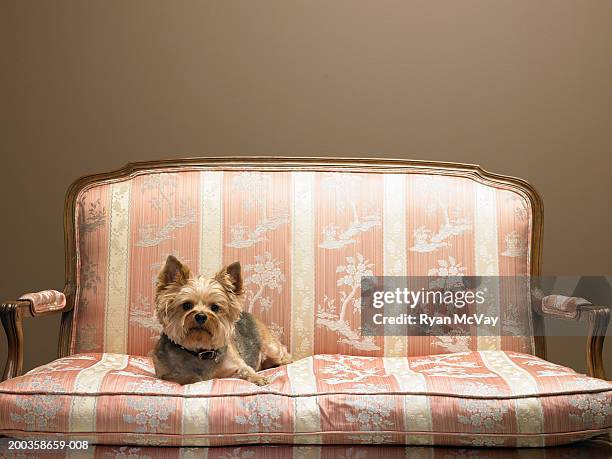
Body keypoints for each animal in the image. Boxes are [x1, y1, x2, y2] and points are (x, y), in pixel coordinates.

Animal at [150, 256, 290, 386]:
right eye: (187, 305)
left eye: (215, 307)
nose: (201, 316)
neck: (200, 352)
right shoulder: (163, 373)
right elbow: (183, 377)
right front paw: (194, 377)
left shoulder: (236, 364)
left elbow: (246, 369)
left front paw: (258, 378)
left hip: (271, 347)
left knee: (284, 354)